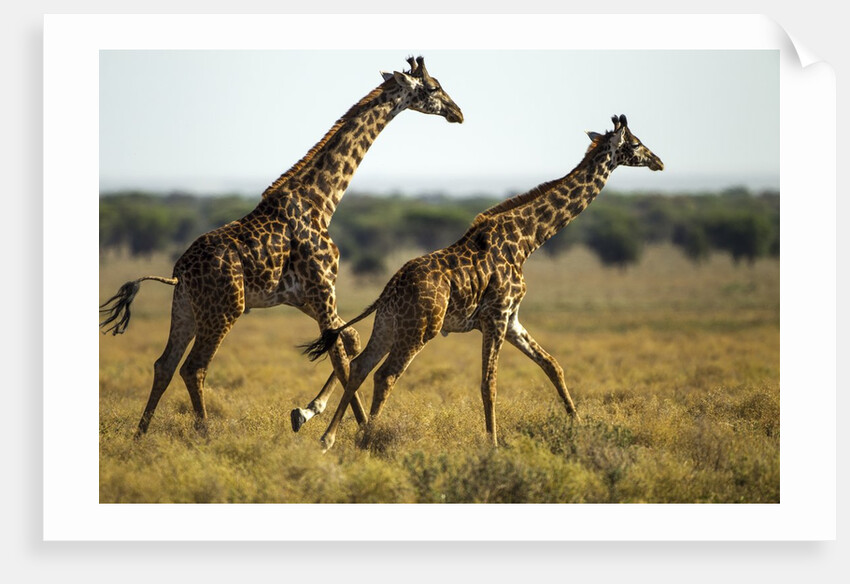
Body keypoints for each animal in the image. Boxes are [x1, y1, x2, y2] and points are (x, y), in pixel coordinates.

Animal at [99, 56, 464, 437]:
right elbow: (342, 356)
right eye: (433, 87)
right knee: (193, 367)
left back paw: (140, 436)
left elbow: (349, 341)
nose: (458, 113)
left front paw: (309, 413)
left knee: (164, 364)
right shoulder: (323, 289)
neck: (321, 201)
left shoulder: (302, 298)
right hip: (224, 309)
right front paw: (347, 425)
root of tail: (178, 272)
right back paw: (205, 435)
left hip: (184, 308)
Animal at [301, 115, 663, 451]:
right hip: (420, 330)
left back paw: (328, 437)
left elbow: (552, 365)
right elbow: (489, 384)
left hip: (390, 324)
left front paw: (578, 423)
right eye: (635, 144)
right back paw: (367, 438)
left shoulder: (512, 320)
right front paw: (493, 444)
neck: (528, 241)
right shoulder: (496, 317)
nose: (658, 161)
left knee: (361, 366)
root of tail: (388, 289)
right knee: (386, 374)